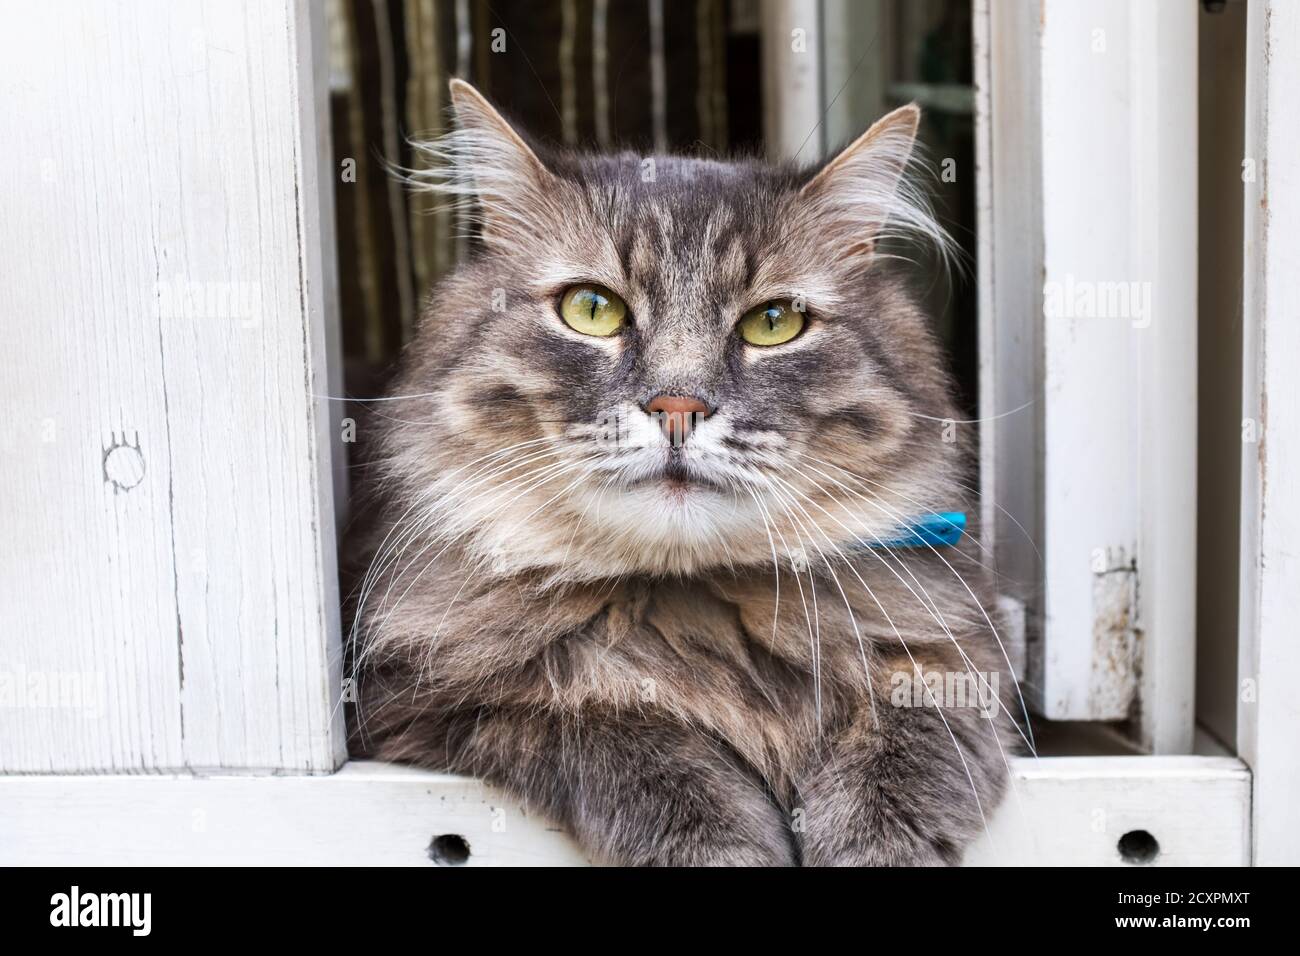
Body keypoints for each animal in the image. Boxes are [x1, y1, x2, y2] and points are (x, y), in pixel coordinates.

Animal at [345, 80, 1024, 868]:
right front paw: (726, 846)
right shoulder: (431, 704)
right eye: (592, 309)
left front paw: (869, 846)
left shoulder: (955, 659)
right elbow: (632, 736)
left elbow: (900, 759)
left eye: (773, 323)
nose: (677, 407)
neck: (692, 608)